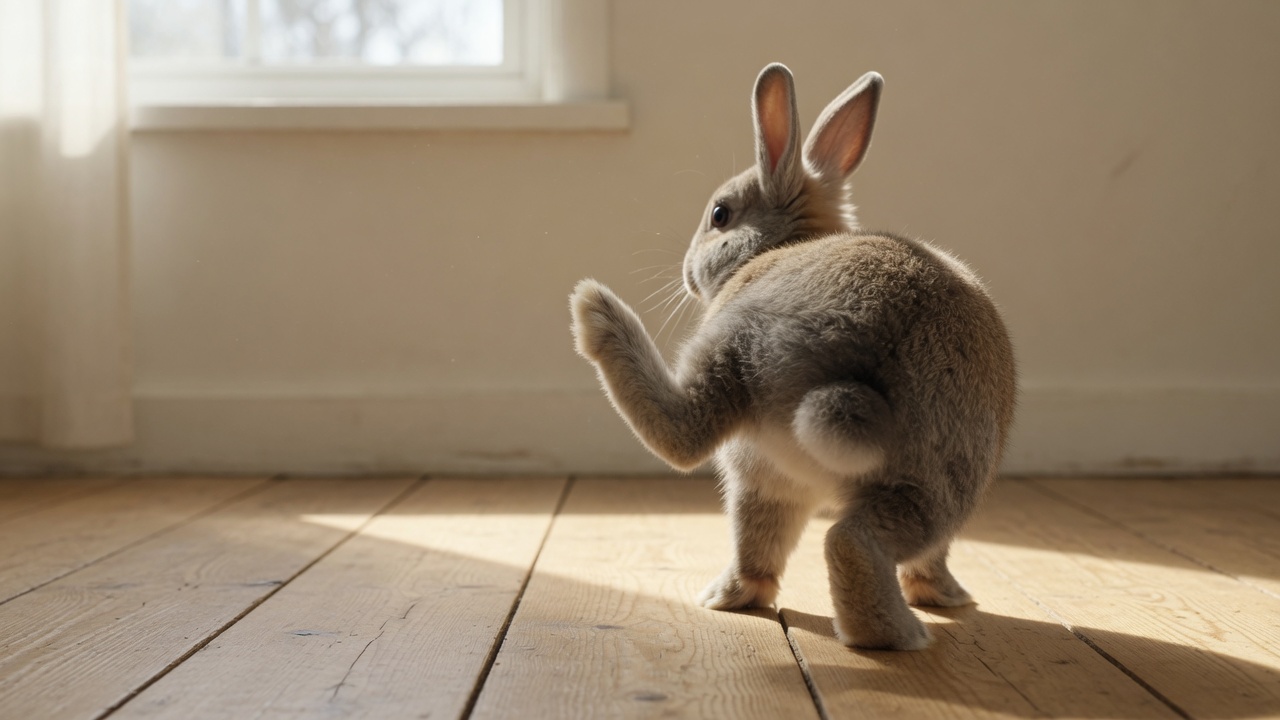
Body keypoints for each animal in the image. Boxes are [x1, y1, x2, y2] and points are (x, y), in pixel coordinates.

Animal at [570, 63, 1016, 651]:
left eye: (720, 215)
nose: (687, 272)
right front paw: (948, 596)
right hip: (917, 476)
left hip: (745, 378)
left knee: (694, 443)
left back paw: (595, 310)